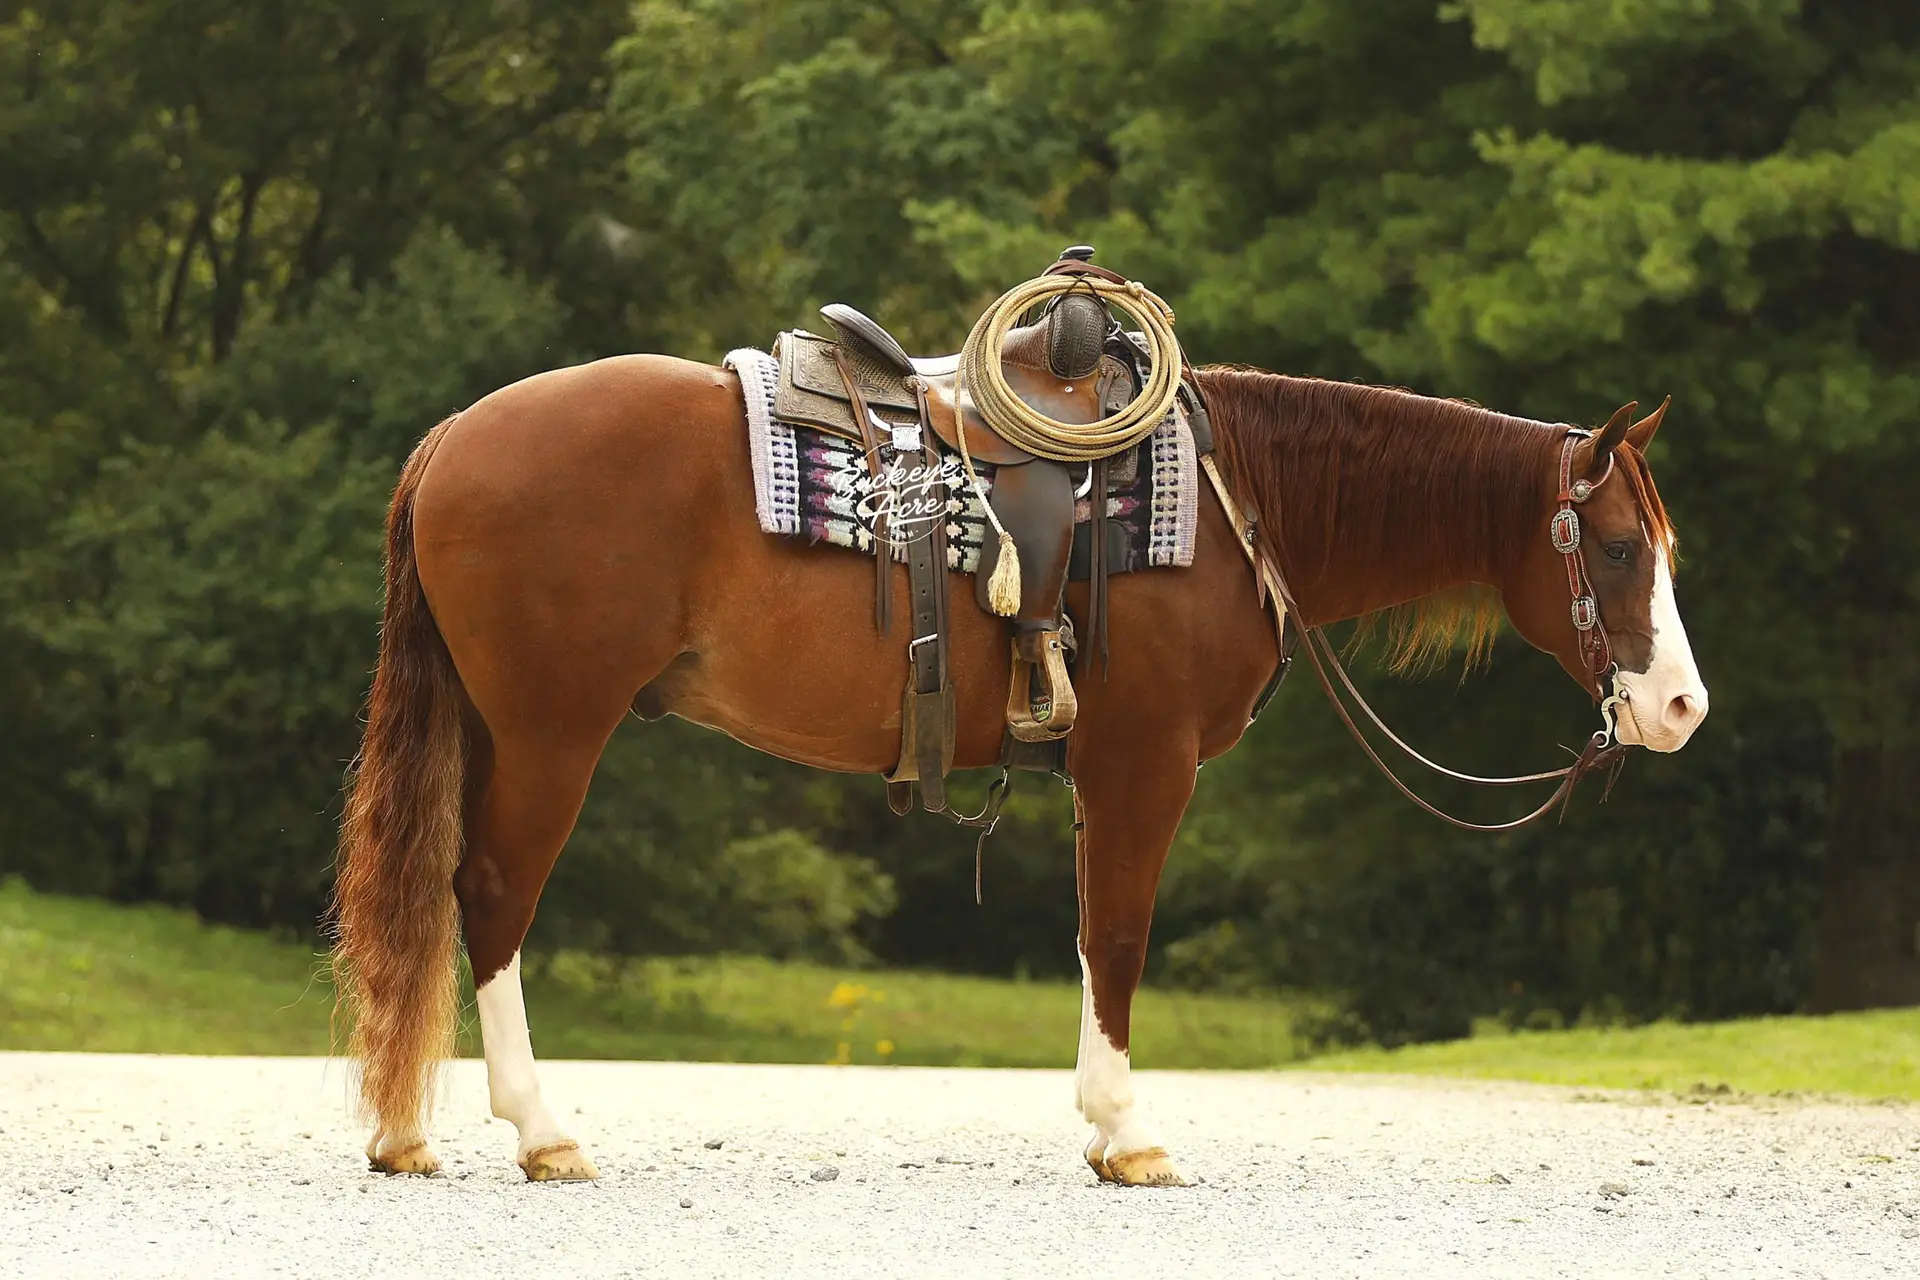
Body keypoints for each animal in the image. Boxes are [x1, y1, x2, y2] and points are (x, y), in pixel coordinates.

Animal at [330, 355, 1708, 1187]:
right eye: (1619, 545)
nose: (1681, 706)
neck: (1230, 507)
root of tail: (454, 436)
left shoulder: (1109, 775)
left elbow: (1097, 937)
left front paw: (1106, 1128)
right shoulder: (1146, 766)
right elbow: (1123, 936)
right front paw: (1130, 1136)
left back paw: (407, 1131)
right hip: (552, 730)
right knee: (493, 895)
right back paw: (541, 1129)